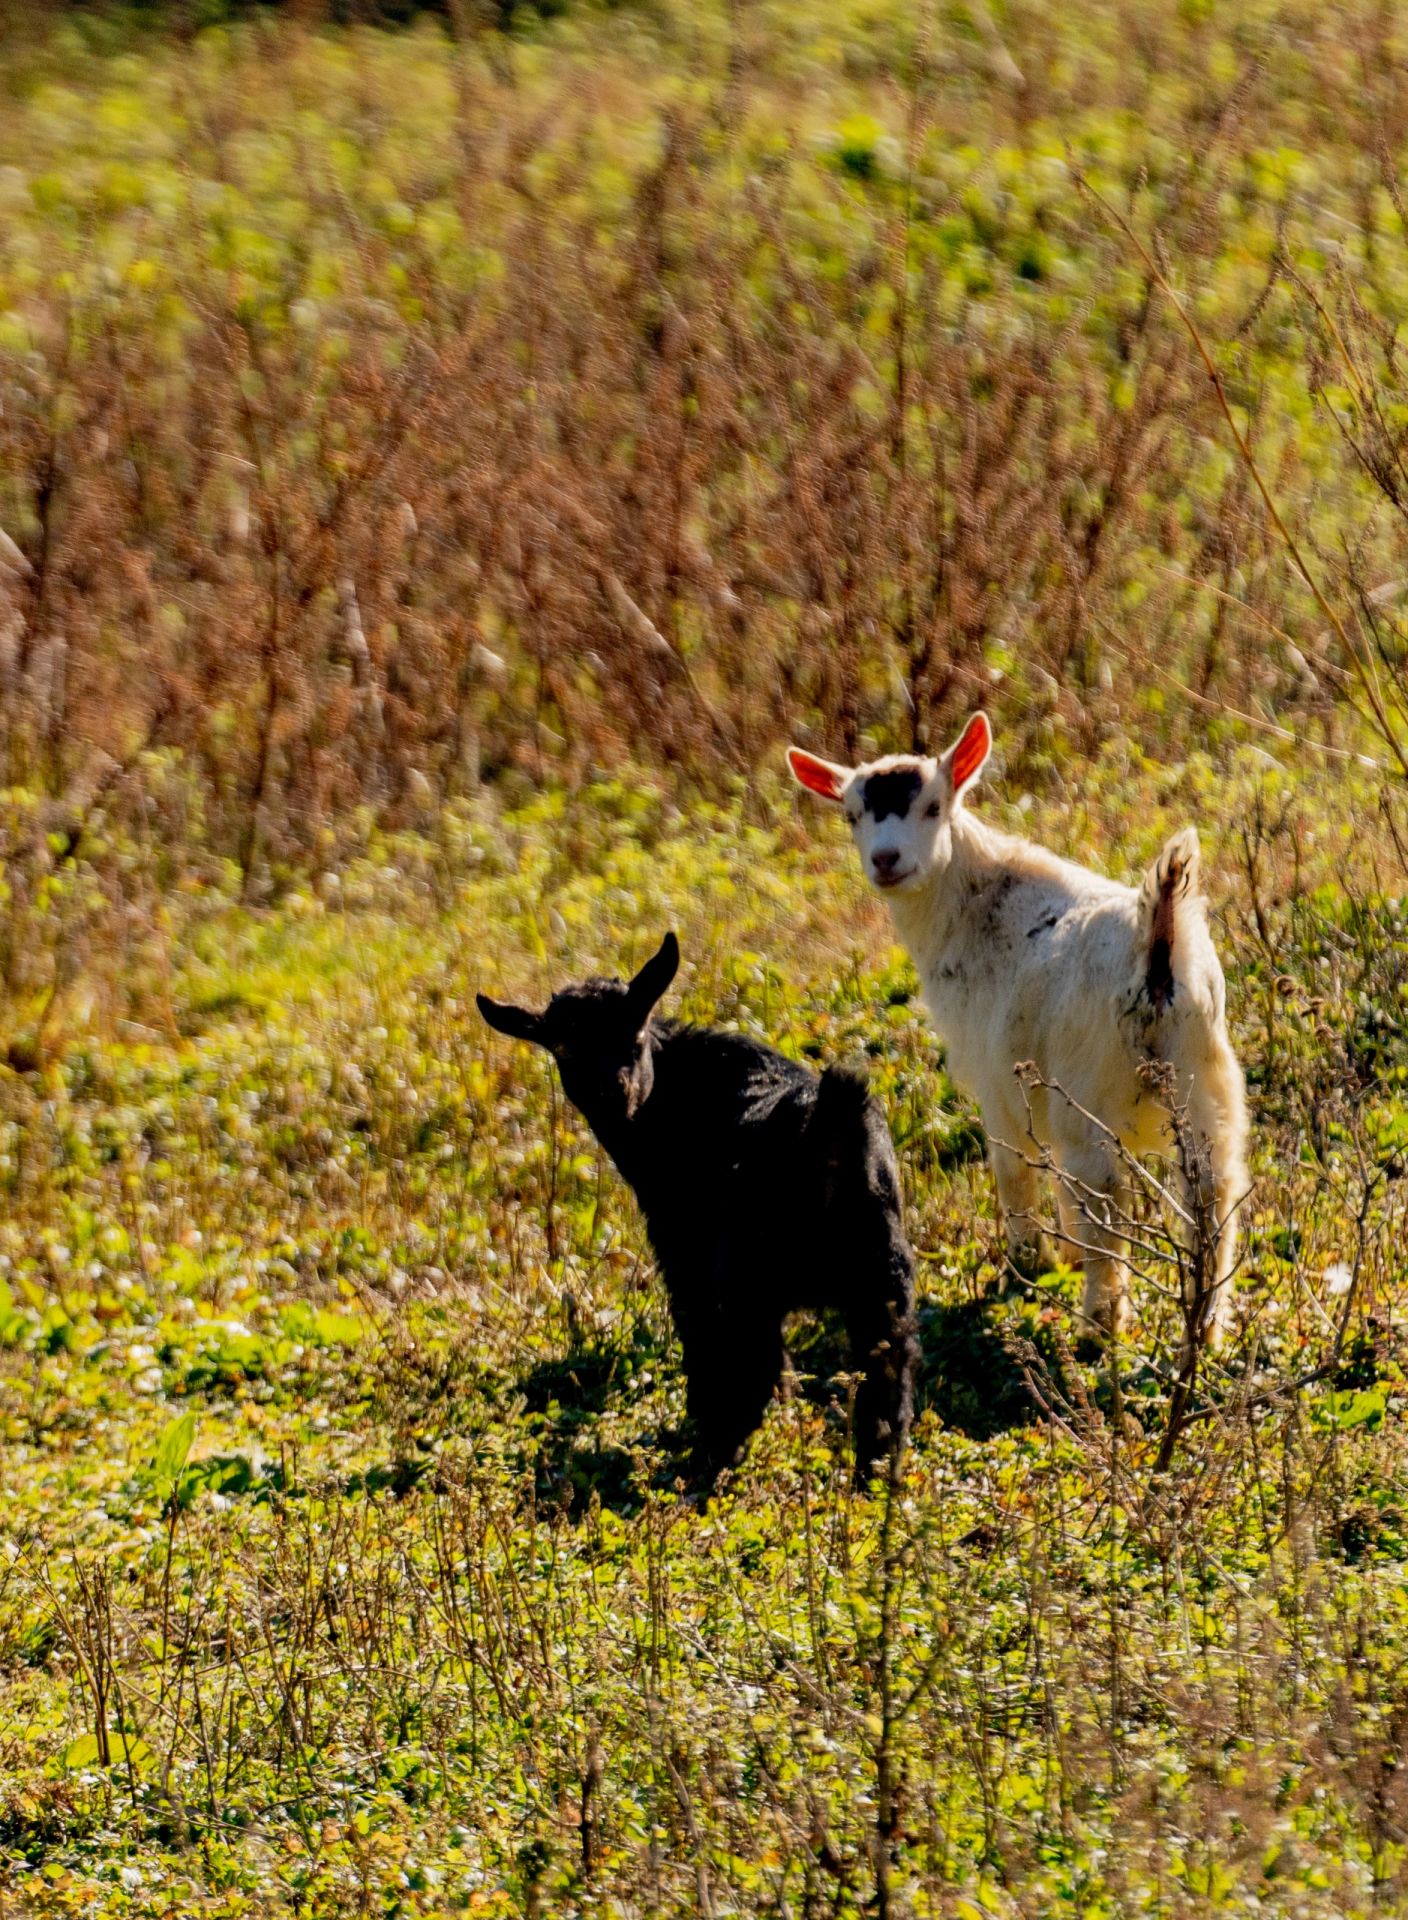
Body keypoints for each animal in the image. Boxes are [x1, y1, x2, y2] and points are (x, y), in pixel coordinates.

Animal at [477, 932, 917, 1481]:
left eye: (634, 1038)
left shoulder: (680, 1245)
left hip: (749, 1275)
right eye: (564, 1052)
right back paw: (874, 1476)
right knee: (888, 1369)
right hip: (881, 1272)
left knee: (751, 1365)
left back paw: (708, 1460)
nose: (611, 1091)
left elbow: (696, 1329)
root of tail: (827, 1128)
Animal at [788, 716, 1250, 1350]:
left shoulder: (994, 1073)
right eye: (851, 815)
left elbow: (1013, 1168)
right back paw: (1201, 1330)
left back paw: (1096, 1329)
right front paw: (1056, 1261)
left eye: (934, 806)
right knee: (1213, 1188)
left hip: (1087, 1090)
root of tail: (1156, 946)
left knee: (1102, 1196)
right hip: (1204, 1075)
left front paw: (1025, 1270)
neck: (980, 904)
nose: (886, 859)